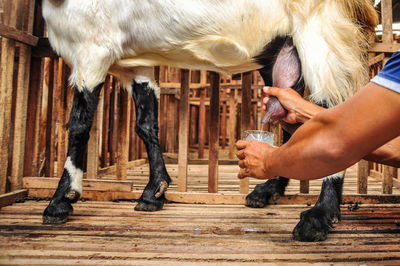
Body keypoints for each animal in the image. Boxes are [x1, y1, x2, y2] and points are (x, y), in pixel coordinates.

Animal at [41, 0, 378, 241]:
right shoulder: (135, 66)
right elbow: (145, 124)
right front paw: (155, 190)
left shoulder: (91, 49)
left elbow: (79, 124)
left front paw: (61, 200)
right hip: (284, 54)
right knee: (291, 117)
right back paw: (267, 190)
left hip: (322, 35)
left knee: (333, 112)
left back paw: (319, 216)